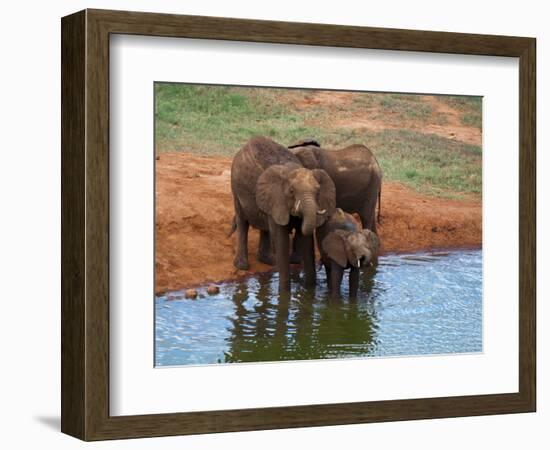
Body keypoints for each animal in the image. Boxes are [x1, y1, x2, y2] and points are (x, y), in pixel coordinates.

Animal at [230, 135, 336, 292]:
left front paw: (309, 290)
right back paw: (242, 266)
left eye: (317, 192)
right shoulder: (277, 198)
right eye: (291, 191)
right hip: (235, 187)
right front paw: (284, 293)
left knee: (265, 226)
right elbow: (281, 238)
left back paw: (269, 261)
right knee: (243, 221)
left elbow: (306, 239)